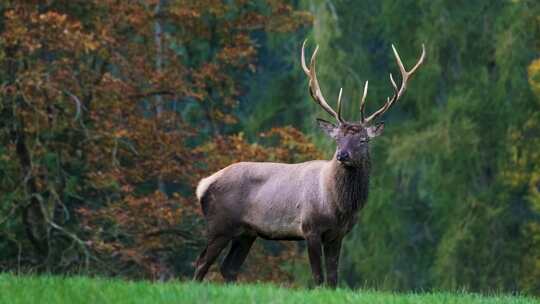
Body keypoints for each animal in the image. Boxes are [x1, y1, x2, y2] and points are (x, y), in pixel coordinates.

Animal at [192, 40, 424, 288]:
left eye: (363, 139)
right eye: (337, 138)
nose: (342, 155)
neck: (338, 205)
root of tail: (202, 185)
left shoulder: (338, 234)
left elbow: (333, 278)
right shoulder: (309, 227)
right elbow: (318, 277)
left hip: (247, 232)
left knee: (229, 267)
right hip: (220, 224)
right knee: (202, 262)